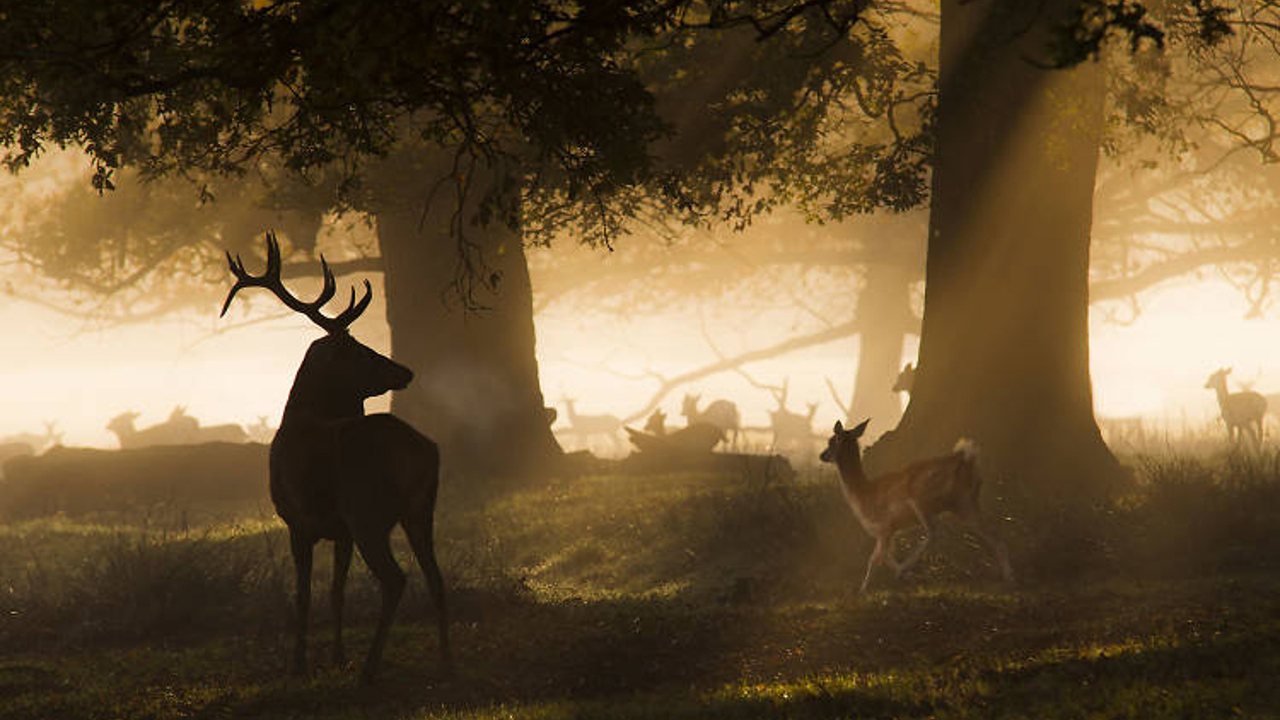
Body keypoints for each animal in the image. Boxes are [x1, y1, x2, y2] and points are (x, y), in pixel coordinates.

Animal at [224, 233, 450, 681]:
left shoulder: (298, 520)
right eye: (362, 352)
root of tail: (424, 451)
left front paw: (299, 664)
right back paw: (447, 664)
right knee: (436, 577)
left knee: (396, 579)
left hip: (368, 511)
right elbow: (336, 590)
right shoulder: (339, 531)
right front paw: (337, 656)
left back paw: (370, 670)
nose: (405, 371)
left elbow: (304, 593)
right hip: (420, 508)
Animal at [819, 417, 1008, 591]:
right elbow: (886, 557)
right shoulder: (889, 531)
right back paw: (1009, 577)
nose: (821, 455)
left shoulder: (884, 527)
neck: (862, 494)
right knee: (992, 533)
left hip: (923, 501)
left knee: (934, 532)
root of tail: (965, 459)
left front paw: (863, 590)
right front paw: (907, 577)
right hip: (966, 501)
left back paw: (905, 567)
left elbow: (873, 559)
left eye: (831, 441)